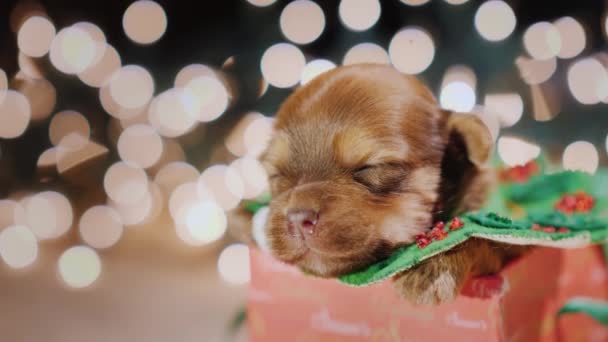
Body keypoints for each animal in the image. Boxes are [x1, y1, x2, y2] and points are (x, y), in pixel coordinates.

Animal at [230, 64, 524, 304]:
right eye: (278, 176)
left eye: (370, 168)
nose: (297, 218)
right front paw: (243, 217)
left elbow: (480, 236)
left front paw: (433, 266)